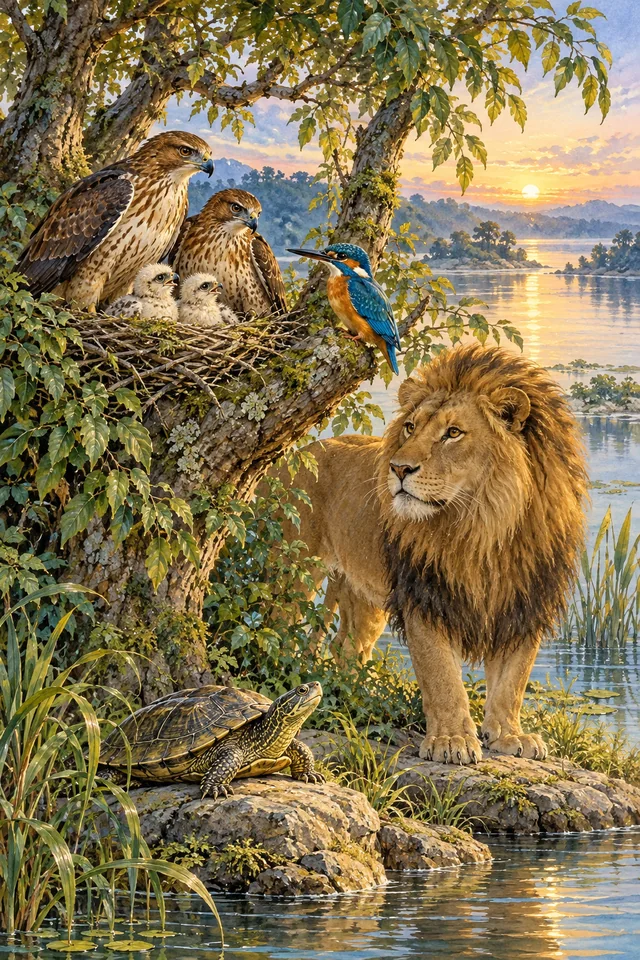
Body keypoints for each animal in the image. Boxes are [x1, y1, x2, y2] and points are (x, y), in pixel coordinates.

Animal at [279, 344, 588, 765]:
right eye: (411, 427)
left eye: (453, 433)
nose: (398, 468)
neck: (482, 528)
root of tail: (304, 450)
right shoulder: (424, 595)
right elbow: (441, 675)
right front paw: (451, 741)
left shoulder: (525, 600)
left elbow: (513, 678)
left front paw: (509, 735)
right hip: (293, 570)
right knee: (278, 629)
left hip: (362, 595)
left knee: (347, 648)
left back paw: (355, 695)